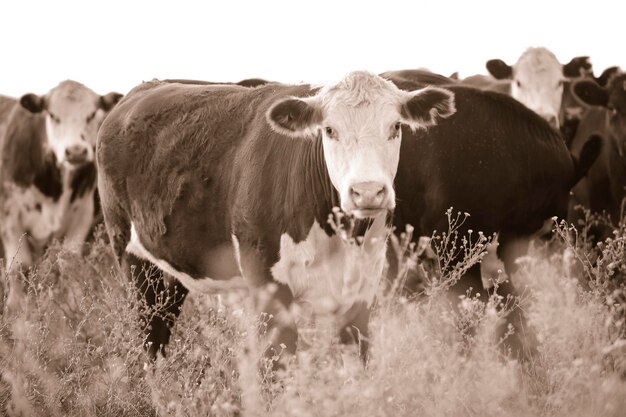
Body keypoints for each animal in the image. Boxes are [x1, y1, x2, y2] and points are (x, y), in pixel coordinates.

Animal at [0, 80, 123, 272]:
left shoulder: (82, 215)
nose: (76, 151)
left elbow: (69, 262)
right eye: (52, 115)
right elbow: (19, 268)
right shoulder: (9, 220)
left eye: (92, 114)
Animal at [95, 71, 450, 364]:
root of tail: (137, 93)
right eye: (329, 130)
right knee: (150, 334)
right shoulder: (267, 284)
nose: (367, 191)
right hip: (133, 260)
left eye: (395, 127)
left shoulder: (362, 287)